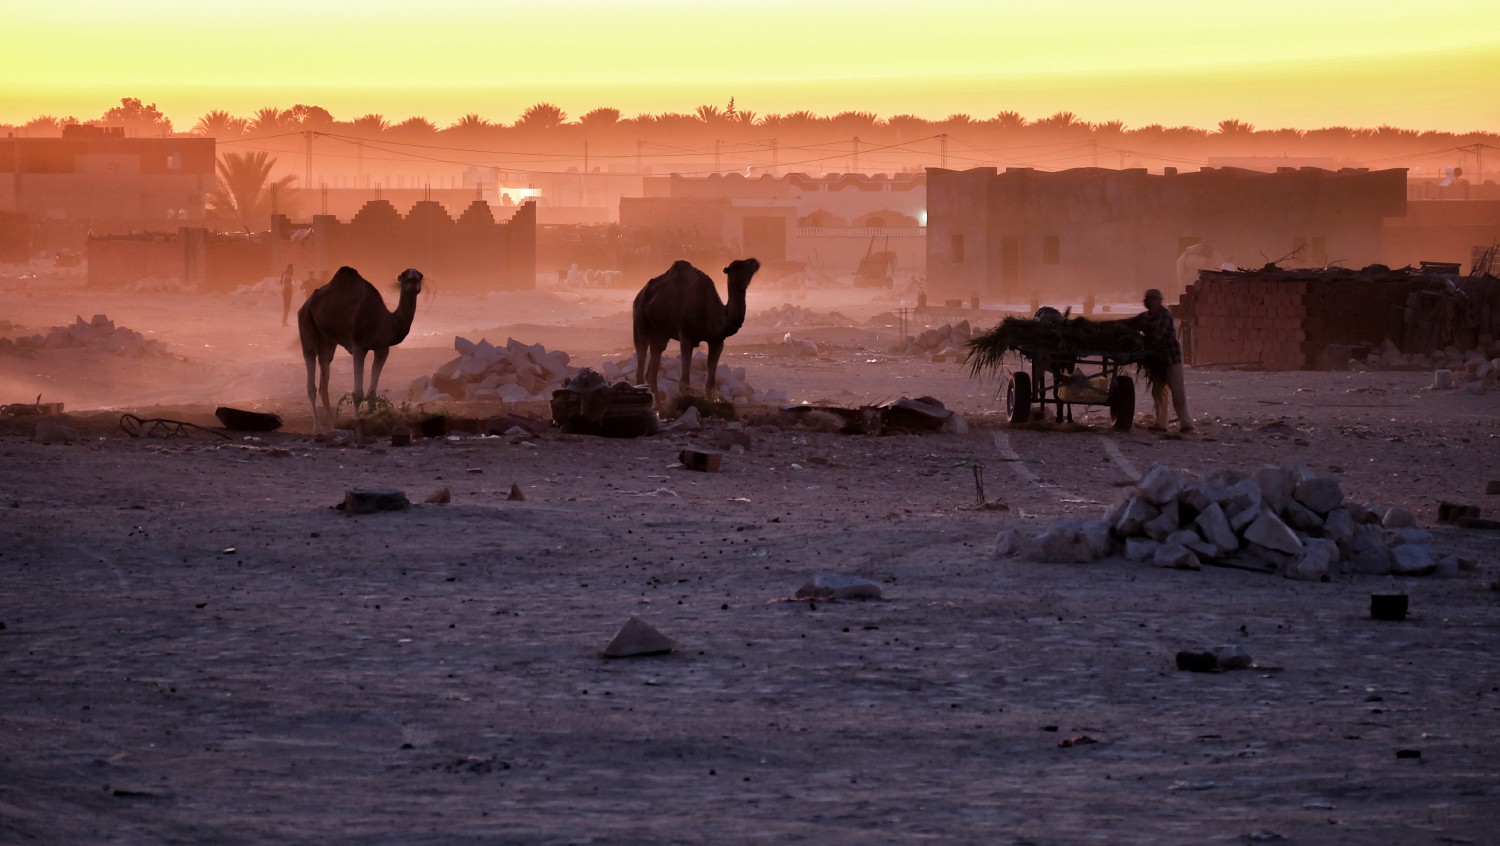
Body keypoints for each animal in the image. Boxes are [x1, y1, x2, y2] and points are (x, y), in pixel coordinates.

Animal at [297, 264, 423, 432]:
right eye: (404, 275)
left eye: (420, 275)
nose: (413, 278)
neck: (383, 321)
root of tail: (306, 303)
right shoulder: (358, 346)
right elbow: (358, 394)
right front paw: (358, 423)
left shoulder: (382, 349)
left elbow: (372, 393)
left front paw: (373, 420)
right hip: (306, 322)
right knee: (311, 376)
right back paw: (317, 429)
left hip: (327, 341)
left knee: (324, 378)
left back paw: (333, 425)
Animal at [630, 256, 756, 402]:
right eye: (738, 265)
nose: (755, 262)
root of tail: (640, 293)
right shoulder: (686, 335)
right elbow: (684, 382)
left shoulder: (717, 340)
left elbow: (711, 385)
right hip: (640, 316)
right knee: (641, 353)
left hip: (661, 332)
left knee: (653, 365)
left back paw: (659, 405)